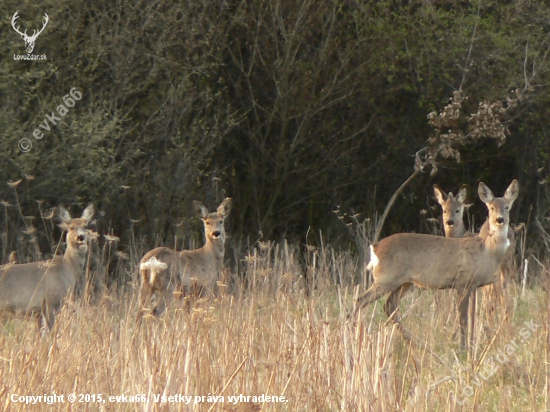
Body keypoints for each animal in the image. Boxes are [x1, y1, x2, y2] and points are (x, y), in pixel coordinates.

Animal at [358, 180, 520, 348]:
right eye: (491, 207)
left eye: (507, 207)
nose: (499, 219)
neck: (486, 250)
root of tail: (374, 247)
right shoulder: (463, 282)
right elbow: (463, 318)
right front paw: (463, 347)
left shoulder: (474, 285)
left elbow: (471, 316)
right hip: (386, 279)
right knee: (361, 300)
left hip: (403, 282)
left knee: (389, 305)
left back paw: (415, 342)